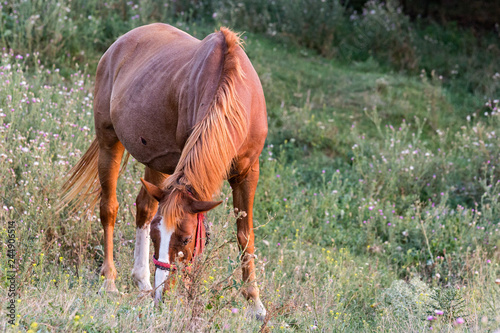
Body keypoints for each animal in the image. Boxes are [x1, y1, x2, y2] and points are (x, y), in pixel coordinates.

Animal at [60, 22, 268, 318]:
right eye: (157, 237)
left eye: (185, 239)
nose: (162, 297)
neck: (234, 97)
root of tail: (119, 44)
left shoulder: (248, 173)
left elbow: (245, 236)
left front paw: (255, 304)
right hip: (109, 142)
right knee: (109, 208)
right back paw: (111, 282)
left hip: (157, 163)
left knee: (144, 207)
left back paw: (142, 280)